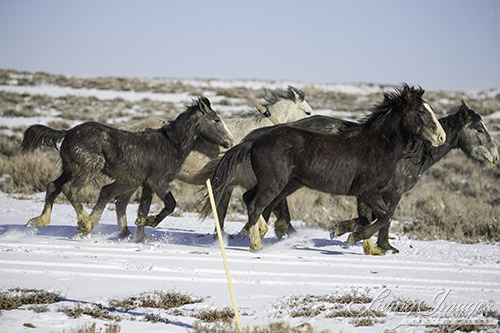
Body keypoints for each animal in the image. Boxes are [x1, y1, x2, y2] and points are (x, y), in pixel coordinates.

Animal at [22, 97, 234, 237]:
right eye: (216, 119)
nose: (230, 142)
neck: (172, 144)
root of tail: (68, 133)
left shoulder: (147, 184)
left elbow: (145, 207)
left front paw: (142, 225)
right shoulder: (159, 182)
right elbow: (170, 205)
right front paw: (147, 222)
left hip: (70, 168)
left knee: (53, 186)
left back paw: (38, 221)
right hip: (88, 168)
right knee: (70, 189)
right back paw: (85, 224)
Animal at [117, 85, 312, 239]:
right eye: (308, 112)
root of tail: (126, 129)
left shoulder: (229, 185)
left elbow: (222, 211)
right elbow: (278, 206)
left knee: (123, 203)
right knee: (122, 203)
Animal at [206, 84, 446, 250]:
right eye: (421, 112)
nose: (441, 137)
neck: (378, 145)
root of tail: (256, 139)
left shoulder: (368, 194)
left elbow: (371, 217)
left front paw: (348, 234)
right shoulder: (367, 191)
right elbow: (385, 216)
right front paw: (353, 236)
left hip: (278, 183)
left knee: (250, 199)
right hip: (274, 183)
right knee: (256, 205)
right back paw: (257, 245)